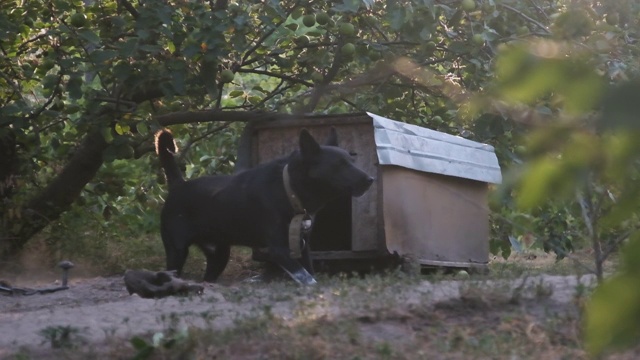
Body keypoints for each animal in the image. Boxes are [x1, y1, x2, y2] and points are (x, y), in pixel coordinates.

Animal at [156, 127, 376, 284]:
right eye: (339, 165)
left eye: (352, 160)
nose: (370, 179)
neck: (289, 190)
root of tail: (178, 185)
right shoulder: (279, 249)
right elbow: (307, 278)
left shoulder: (303, 245)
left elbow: (310, 271)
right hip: (176, 250)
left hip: (219, 254)